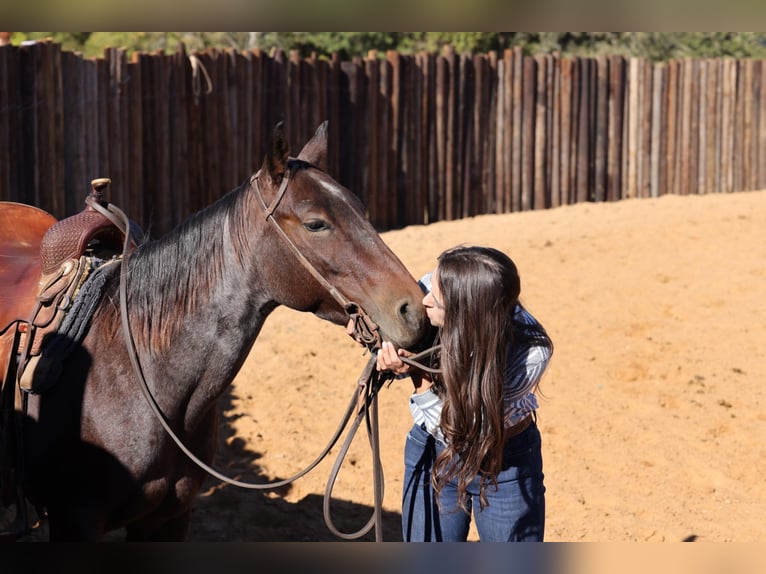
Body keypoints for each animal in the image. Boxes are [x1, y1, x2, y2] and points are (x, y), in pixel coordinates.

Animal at [1, 121, 432, 544]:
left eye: (362, 210)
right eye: (315, 224)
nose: (414, 310)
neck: (137, 371)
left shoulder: (168, 520)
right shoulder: (75, 521)